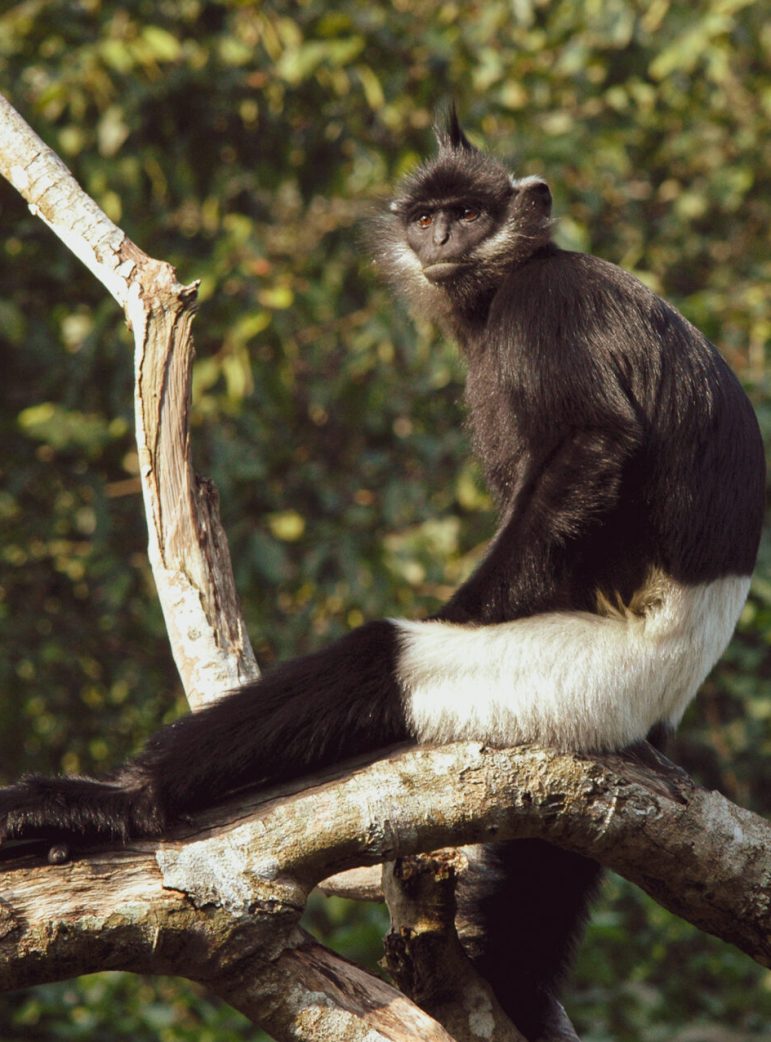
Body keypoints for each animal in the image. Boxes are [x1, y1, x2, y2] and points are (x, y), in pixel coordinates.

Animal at [0, 109, 762, 1037]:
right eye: (427, 216)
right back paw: (514, 983)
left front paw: (459, 607)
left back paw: (119, 803)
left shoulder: (549, 308)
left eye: (467, 214)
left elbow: (591, 445)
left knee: (379, 660)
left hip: (587, 670)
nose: (440, 239)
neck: (508, 284)